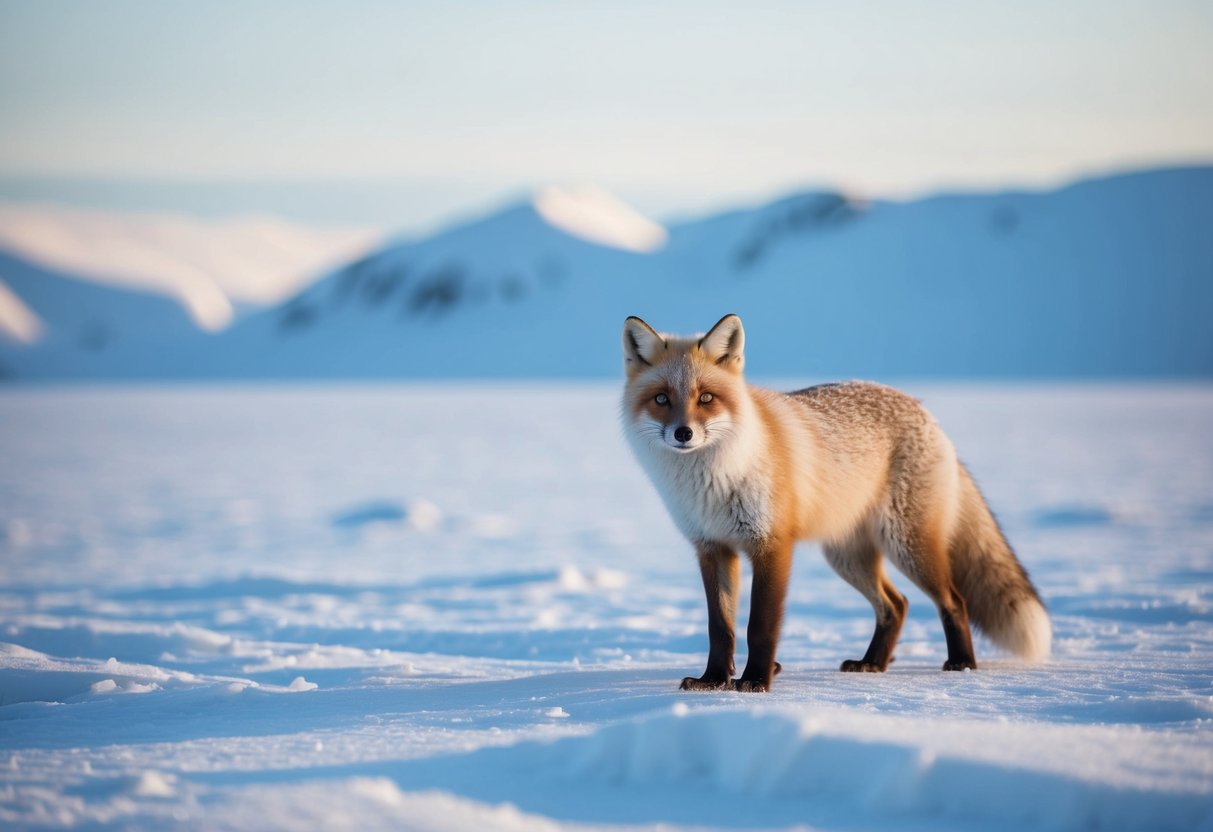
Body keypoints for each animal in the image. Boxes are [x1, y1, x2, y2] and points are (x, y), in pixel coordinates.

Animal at [621, 313, 1051, 692]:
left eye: (707, 397)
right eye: (662, 398)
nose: (684, 433)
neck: (714, 480)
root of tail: (926, 412)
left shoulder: (772, 545)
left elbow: (760, 626)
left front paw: (756, 681)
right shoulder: (712, 547)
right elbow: (720, 628)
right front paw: (713, 680)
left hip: (908, 547)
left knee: (954, 601)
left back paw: (961, 664)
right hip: (847, 557)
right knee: (897, 604)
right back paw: (873, 663)